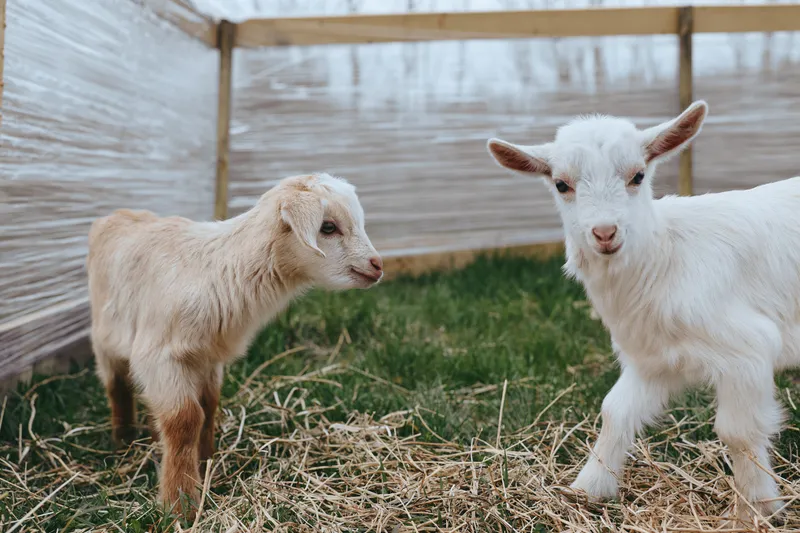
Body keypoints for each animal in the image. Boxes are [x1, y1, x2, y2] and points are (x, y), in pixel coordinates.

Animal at [87, 173, 383, 517]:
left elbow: (209, 406)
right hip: (104, 337)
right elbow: (184, 420)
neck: (221, 272)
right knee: (117, 386)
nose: (377, 265)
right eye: (328, 227)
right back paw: (122, 440)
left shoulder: (209, 357)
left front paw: (206, 462)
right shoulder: (159, 356)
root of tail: (115, 215)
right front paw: (181, 503)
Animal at [487, 101, 800, 523]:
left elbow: (737, 431)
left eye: (637, 176)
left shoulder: (747, 350)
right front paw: (586, 489)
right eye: (561, 184)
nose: (605, 233)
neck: (665, 256)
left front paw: (755, 512)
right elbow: (614, 411)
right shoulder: (653, 358)